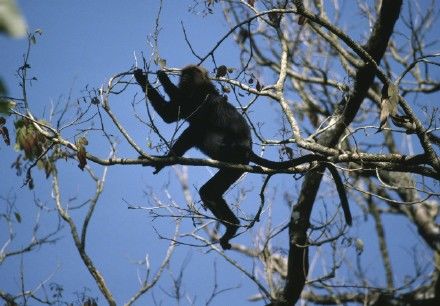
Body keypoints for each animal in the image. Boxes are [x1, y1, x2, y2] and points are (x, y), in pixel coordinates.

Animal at [134, 65, 350, 250]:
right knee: (209, 191)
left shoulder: (200, 99)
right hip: (234, 167)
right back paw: (232, 226)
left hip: (232, 152)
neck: (200, 88)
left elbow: (175, 117)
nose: (184, 78)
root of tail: (247, 150)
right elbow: (171, 115)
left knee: (197, 131)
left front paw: (155, 77)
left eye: (189, 75)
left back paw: (167, 160)